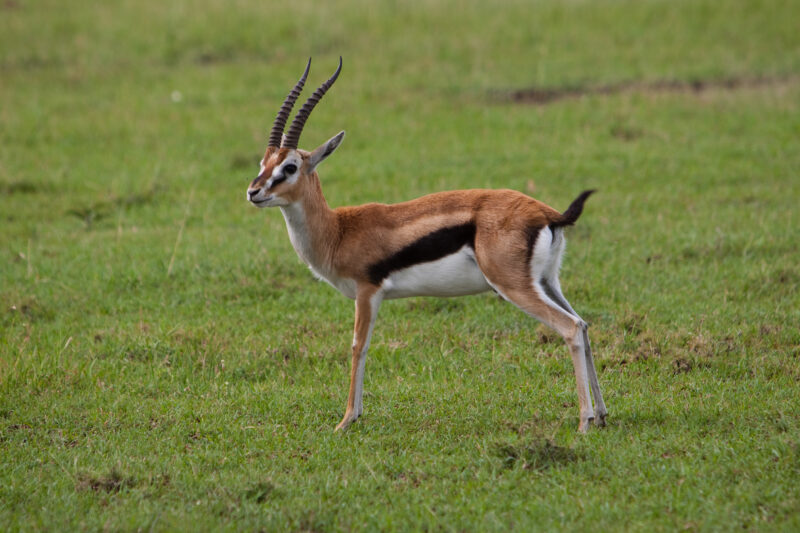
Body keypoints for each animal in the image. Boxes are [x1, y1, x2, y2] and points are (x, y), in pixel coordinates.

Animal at [246, 58, 607, 432]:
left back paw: (583, 421)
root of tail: (548, 213)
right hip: (547, 282)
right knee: (582, 324)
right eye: (263, 164)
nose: (253, 192)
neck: (338, 230)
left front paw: (346, 420)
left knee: (569, 327)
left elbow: (359, 346)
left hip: (514, 287)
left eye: (289, 167)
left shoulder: (367, 291)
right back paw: (601, 415)